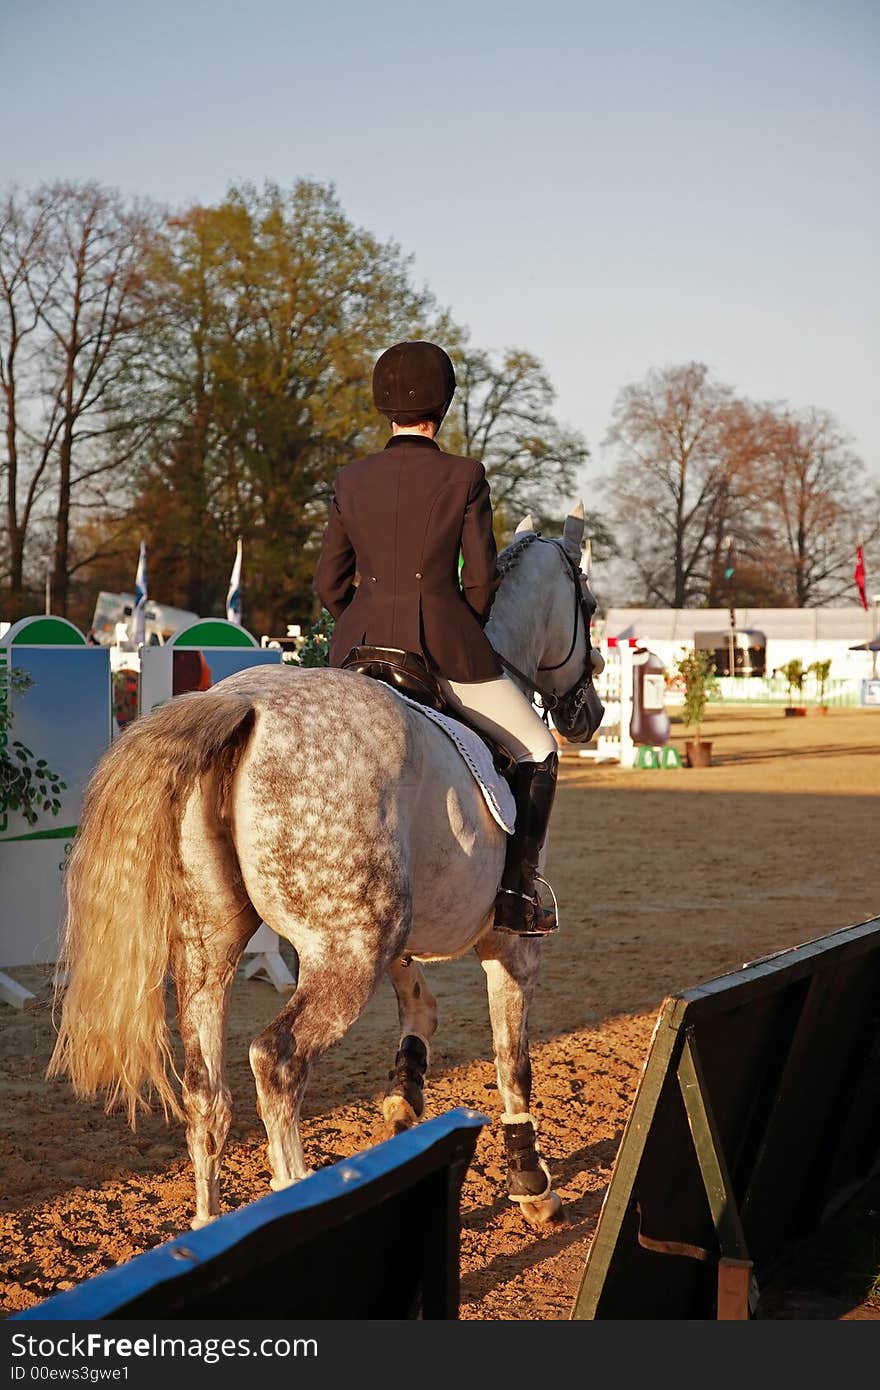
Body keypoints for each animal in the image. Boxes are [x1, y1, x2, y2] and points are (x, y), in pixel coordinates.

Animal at [46, 500, 597, 1228]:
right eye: (590, 605)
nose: (589, 713)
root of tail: (242, 705)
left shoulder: (398, 933)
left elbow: (421, 1008)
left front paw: (404, 1102)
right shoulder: (509, 941)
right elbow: (515, 1059)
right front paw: (532, 1184)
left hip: (211, 946)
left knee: (205, 1089)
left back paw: (209, 1225)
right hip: (344, 956)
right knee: (275, 1060)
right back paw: (294, 1193)